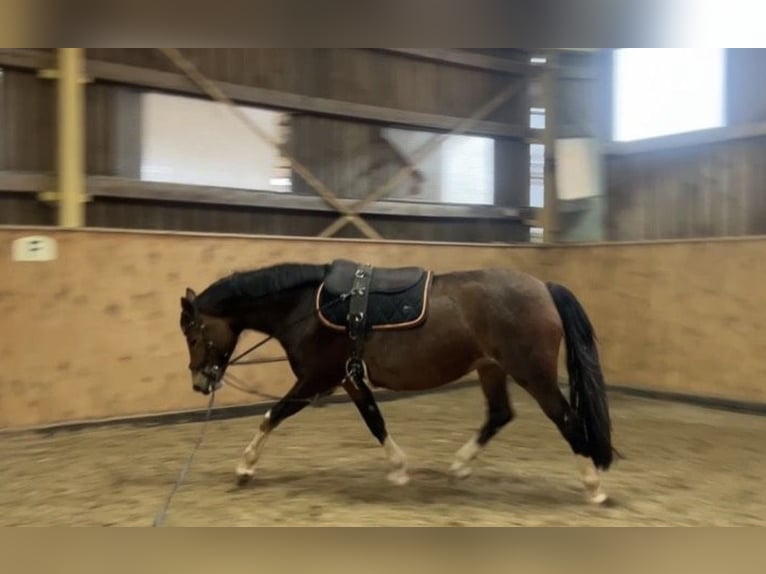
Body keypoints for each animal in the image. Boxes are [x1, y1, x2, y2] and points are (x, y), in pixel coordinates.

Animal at [178, 258, 617, 504]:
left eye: (194, 334)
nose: (201, 383)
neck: (308, 306)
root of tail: (544, 287)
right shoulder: (349, 379)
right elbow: (375, 420)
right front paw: (399, 468)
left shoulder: (317, 378)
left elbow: (273, 415)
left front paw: (245, 467)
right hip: (491, 368)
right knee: (499, 414)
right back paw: (459, 465)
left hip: (532, 373)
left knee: (566, 419)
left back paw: (594, 486)